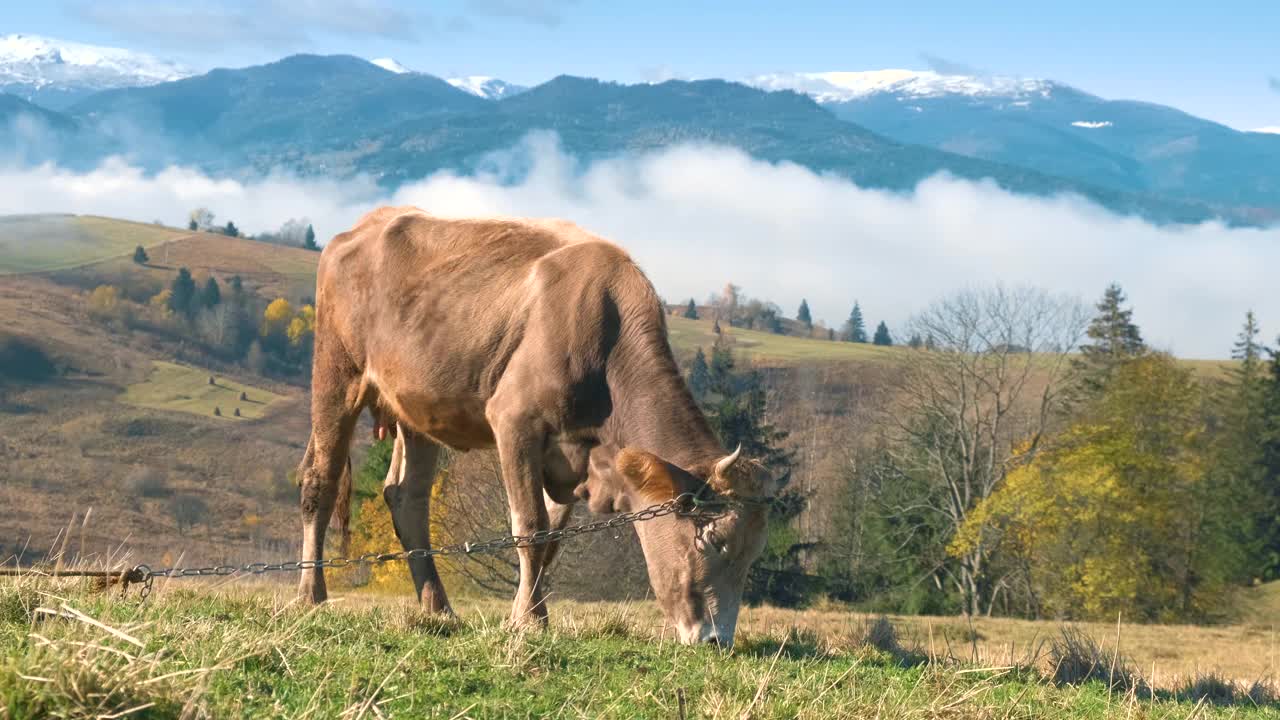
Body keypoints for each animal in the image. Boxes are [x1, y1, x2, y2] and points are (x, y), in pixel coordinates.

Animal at [299, 204, 778, 640]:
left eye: (753, 555)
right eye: (711, 540)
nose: (717, 639)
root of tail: (368, 223)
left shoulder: (571, 455)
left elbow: (550, 541)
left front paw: (529, 616)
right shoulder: (515, 420)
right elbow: (529, 528)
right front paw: (528, 621)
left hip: (415, 408)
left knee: (406, 496)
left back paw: (438, 608)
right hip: (337, 374)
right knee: (319, 483)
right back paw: (311, 595)